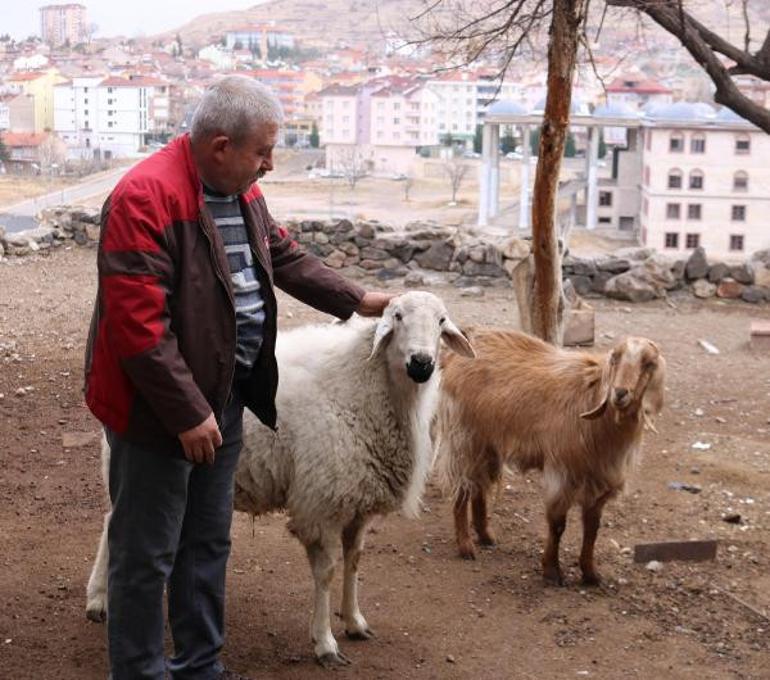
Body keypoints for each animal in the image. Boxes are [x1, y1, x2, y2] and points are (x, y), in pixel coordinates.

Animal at [436, 330, 664, 584]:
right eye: (615, 358)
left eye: (649, 363)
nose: (620, 393)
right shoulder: (562, 473)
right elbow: (557, 524)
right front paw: (552, 571)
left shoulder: (598, 482)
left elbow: (592, 529)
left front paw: (591, 573)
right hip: (464, 438)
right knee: (462, 489)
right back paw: (466, 547)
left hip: (488, 443)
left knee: (479, 487)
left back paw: (486, 536)